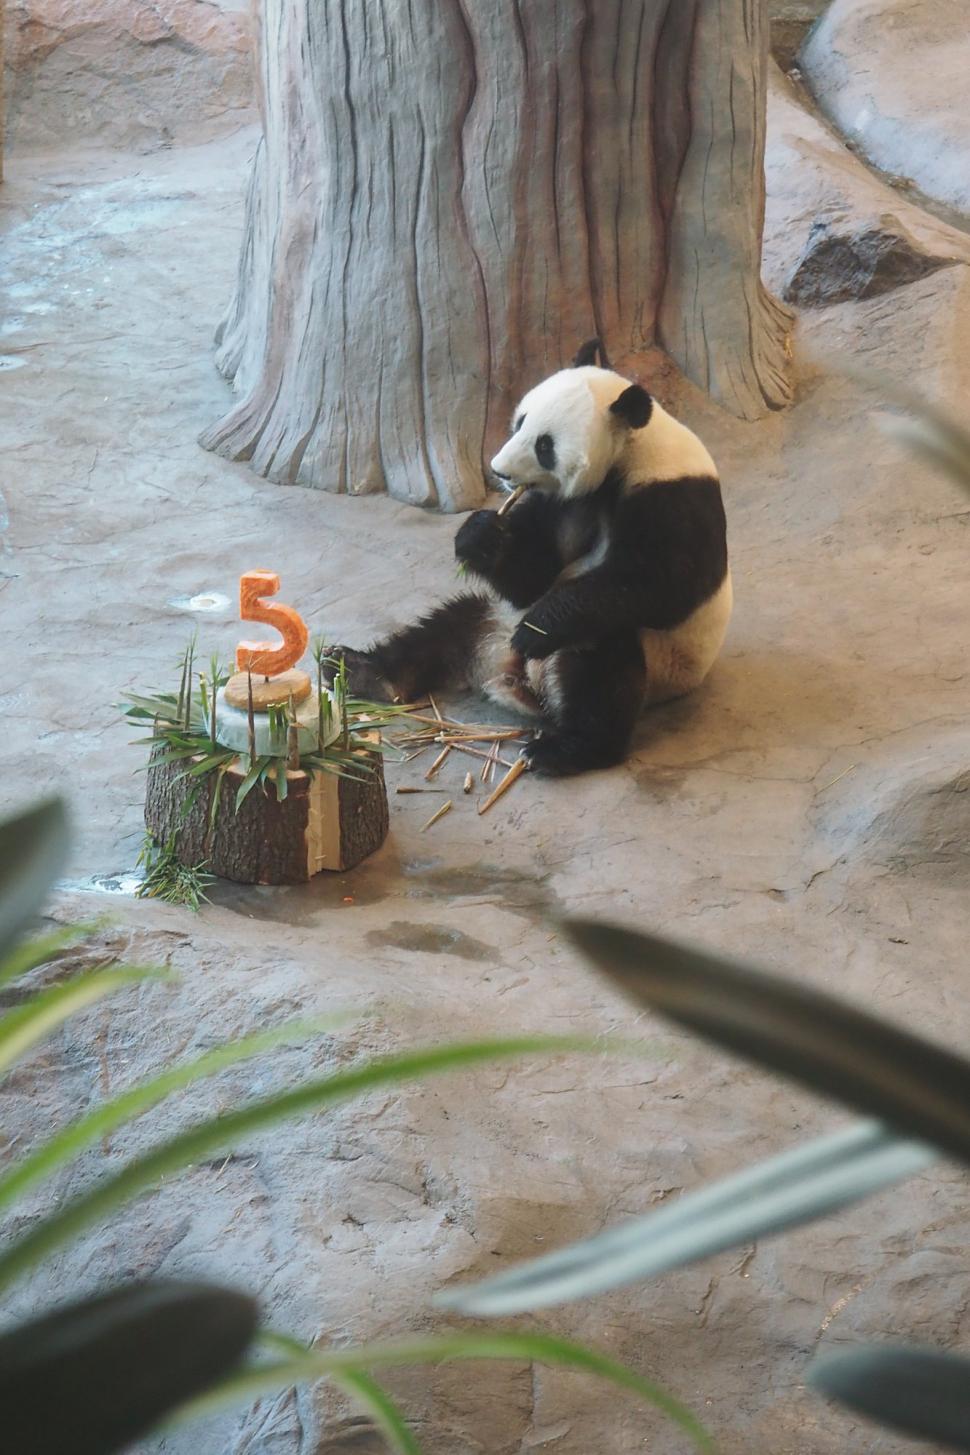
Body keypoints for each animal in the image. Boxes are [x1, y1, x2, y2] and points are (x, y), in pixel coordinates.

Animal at [326, 339, 732, 776]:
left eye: (545, 445)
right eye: (520, 421)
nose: (499, 471)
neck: (630, 450)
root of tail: (513, 676)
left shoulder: (671, 498)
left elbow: (658, 585)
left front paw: (538, 628)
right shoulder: (561, 503)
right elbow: (531, 575)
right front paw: (480, 536)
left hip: (659, 664)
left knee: (601, 663)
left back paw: (565, 747)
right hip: (492, 618)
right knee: (445, 626)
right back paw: (361, 671)